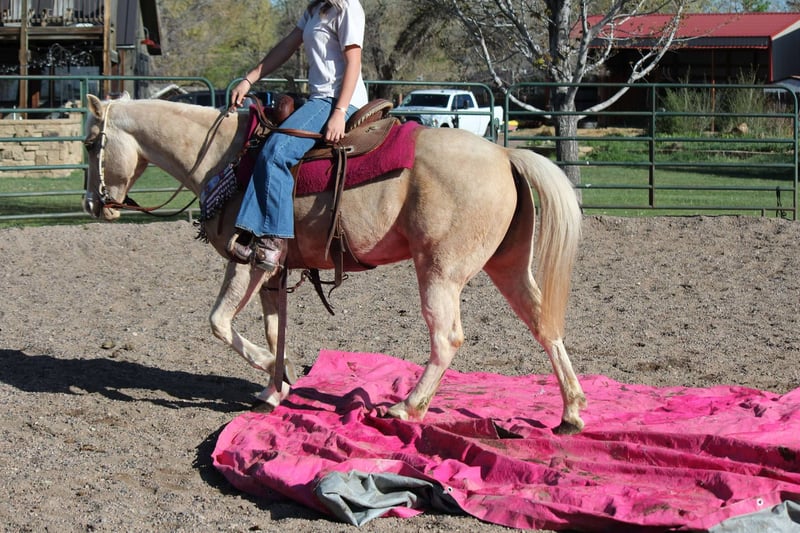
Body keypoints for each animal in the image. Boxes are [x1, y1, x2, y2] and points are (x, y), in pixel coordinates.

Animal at [82, 93, 587, 434]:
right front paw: (275, 386)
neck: (227, 157)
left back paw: (406, 407)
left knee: (447, 339)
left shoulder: (246, 262)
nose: (93, 204)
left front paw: (277, 370)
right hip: (508, 266)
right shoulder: (273, 268)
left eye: (89, 144)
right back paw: (571, 412)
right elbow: (273, 327)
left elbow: (220, 323)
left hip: (440, 272)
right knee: (544, 324)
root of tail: (504, 153)